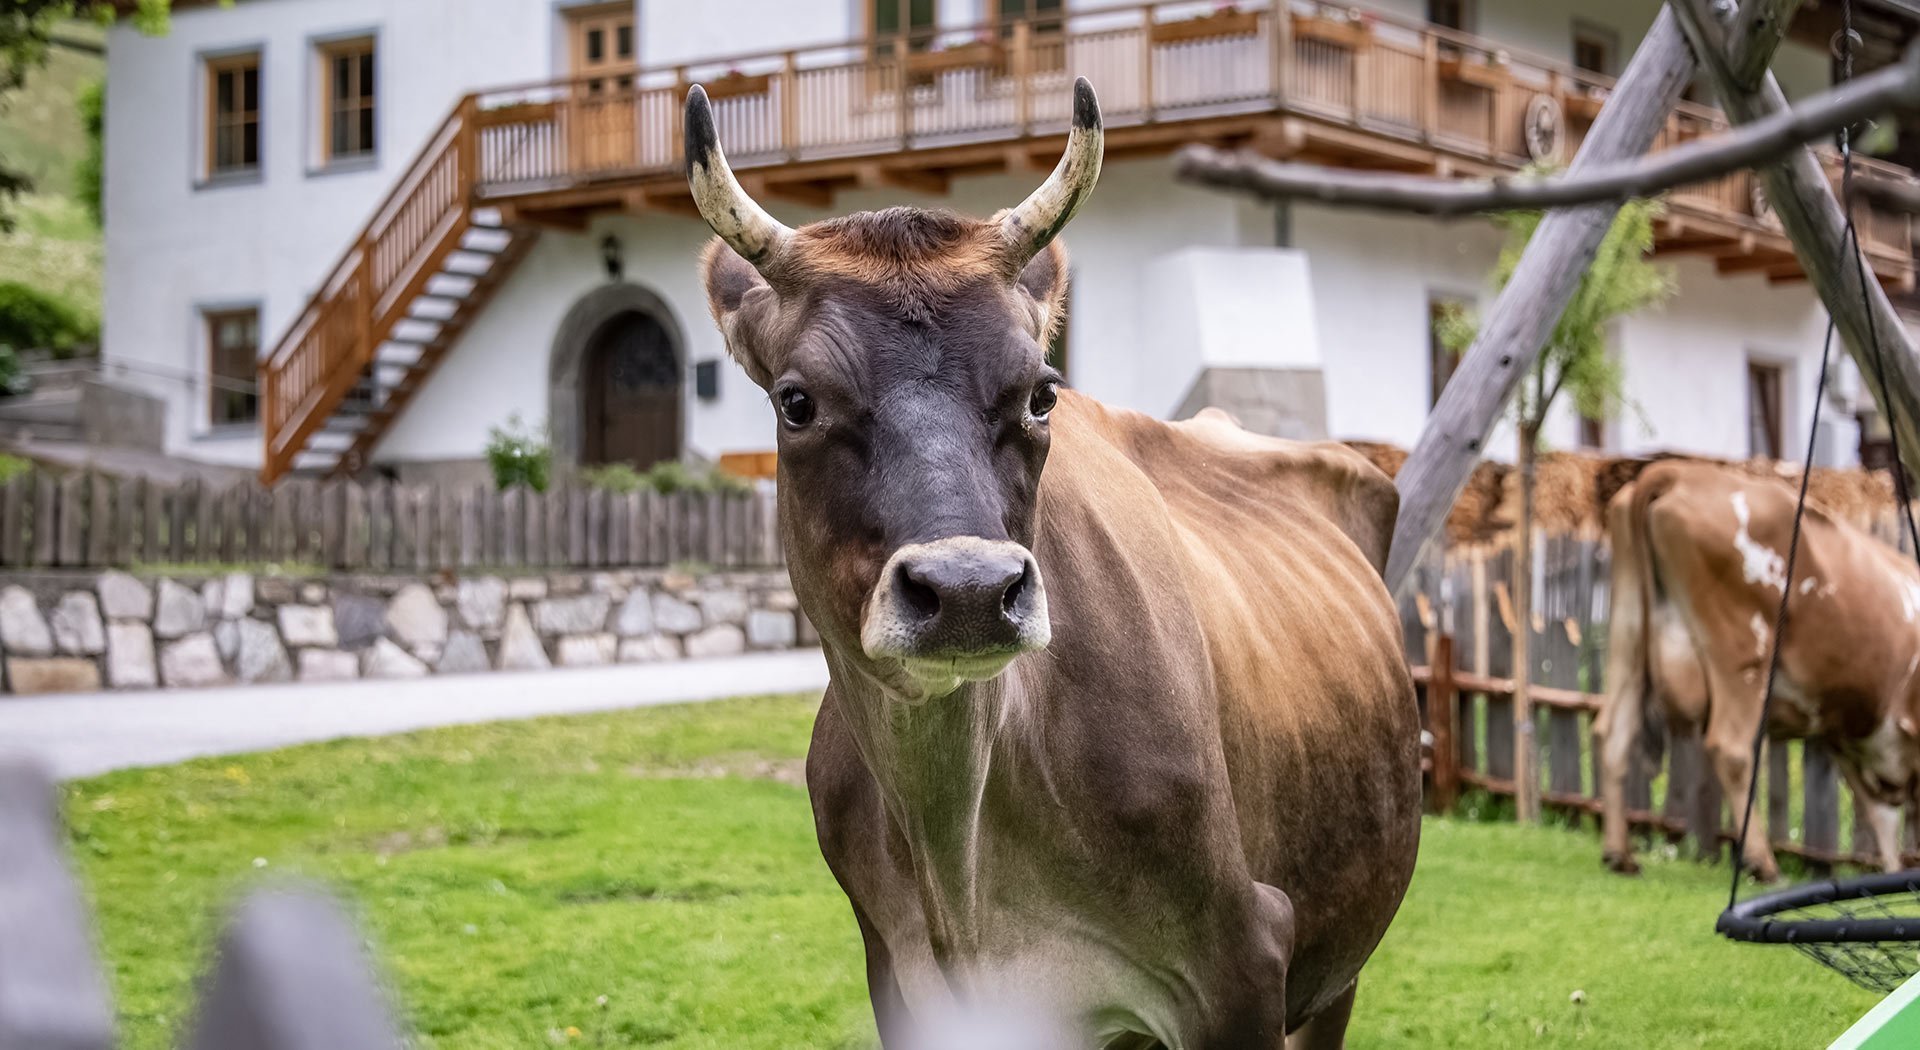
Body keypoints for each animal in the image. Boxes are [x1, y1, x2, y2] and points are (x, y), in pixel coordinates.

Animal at [683, 78, 1420, 1044]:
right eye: (796, 401)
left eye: (1042, 392)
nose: (967, 590)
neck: (962, 868)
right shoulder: (903, 981)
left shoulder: (1247, 959)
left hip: (1338, 970)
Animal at [1589, 464, 1920, 882]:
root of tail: (1680, 473)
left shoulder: (1848, 735)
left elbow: (1880, 812)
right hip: (1744, 655)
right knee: (1731, 749)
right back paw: (1764, 864)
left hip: (1628, 634)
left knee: (1614, 732)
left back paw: (1619, 854)